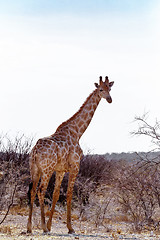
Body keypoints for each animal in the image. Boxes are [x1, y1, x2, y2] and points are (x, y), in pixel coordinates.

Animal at [26, 75, 114, 234]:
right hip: (47, 170)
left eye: (110, 88)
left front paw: (51, 225)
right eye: (100, 89)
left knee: (33, 191)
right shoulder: (75, 167)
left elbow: (56, 195)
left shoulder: (60, 170)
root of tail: (35, 151)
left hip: (35, 169)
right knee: (41, 191)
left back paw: (30, 227)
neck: (78, 132)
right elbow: (69, 194)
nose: (110, 99)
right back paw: (42, 227)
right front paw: (70, 227)